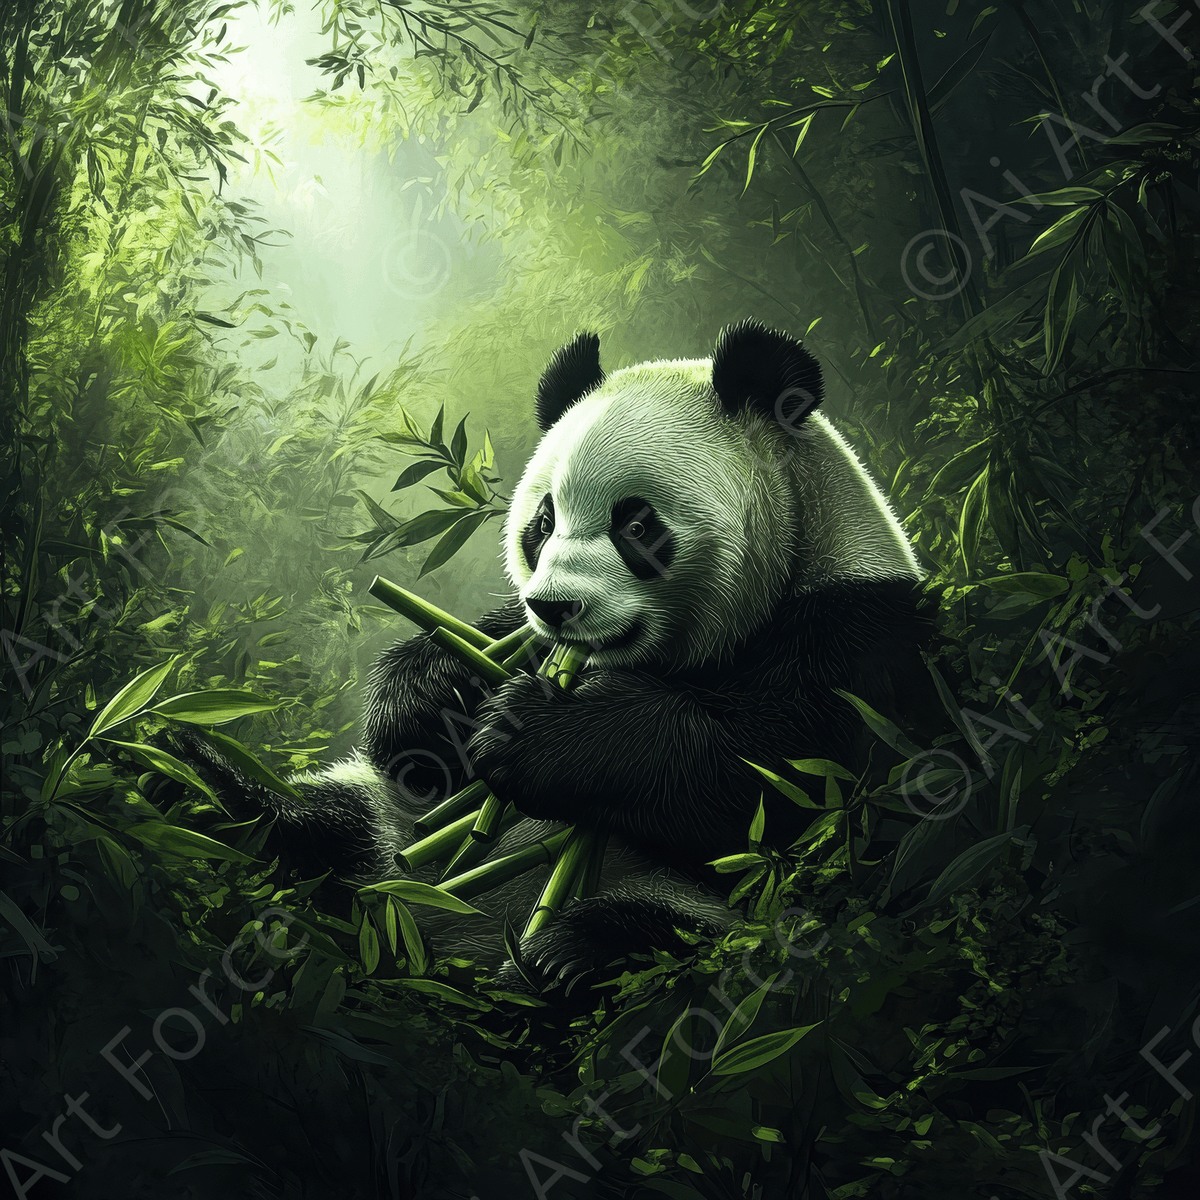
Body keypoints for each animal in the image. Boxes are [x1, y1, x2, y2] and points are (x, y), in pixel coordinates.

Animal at [174, 319, 937, 993]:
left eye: (637, 524)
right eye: (541, 524)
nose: (556, 606)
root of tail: (428, 931)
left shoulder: (857, 638)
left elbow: (780, 785)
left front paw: (533, 734)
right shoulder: (524, 636)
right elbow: (445, 693)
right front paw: (436, 698)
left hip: (703, 913)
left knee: (672, 934)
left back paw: (565, 958)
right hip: (381, 827)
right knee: (328, 820)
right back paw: (205, 788)